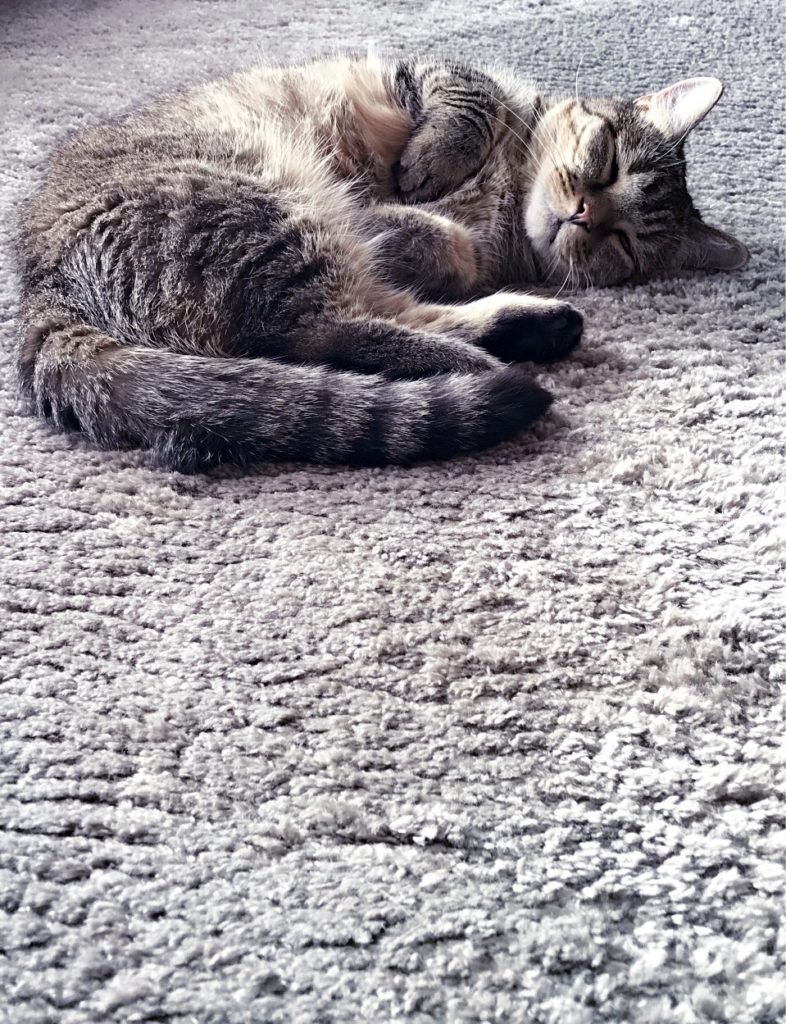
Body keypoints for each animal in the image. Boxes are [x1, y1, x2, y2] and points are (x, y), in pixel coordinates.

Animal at [15, 54, 748, 470]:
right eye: (606, 160)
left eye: (622, 240)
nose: (585, 216)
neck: (509, 196)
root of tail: (40, 287)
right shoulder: (427, 80)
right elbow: (465, 111)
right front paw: (427, 174)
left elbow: (442, 243)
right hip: (266, 200)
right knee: (318, 332)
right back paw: (495, 347)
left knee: (326, 332)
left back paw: (519, 336)